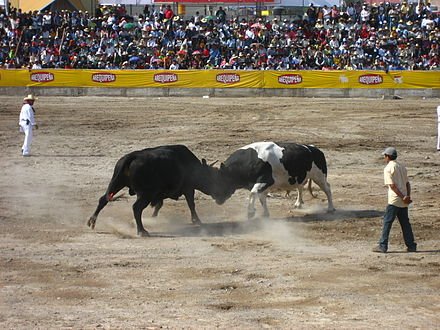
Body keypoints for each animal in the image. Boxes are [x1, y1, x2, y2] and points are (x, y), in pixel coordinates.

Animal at [88, 144, 235, 235]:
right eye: (216, 179)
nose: (227, 194)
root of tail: (131, 157)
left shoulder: (159, 194)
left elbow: (159, 205)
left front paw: (154, 219)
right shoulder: (188, 189)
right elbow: (191, 204)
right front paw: (196, 220)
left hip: (116, 182)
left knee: (103, 199)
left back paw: (92, 221)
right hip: (145, 194)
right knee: (136, 208)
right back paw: (142, 231)